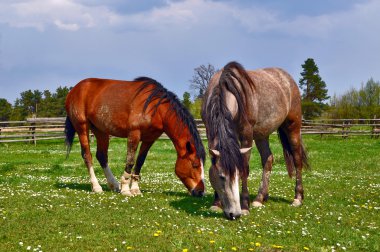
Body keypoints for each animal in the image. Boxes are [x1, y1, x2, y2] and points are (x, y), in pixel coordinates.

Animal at [66, 77, 208, 197]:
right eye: (195, 165)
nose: (201, 192)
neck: (155, 108)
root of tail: (74, 90)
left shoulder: (149, 139)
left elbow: (140, 161)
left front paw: (135, 188)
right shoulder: (134, 134)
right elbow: (130, 160)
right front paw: (125, 188)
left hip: (101, 131)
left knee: (102, 156)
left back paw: (114, 185)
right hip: (82, 127)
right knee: (87, 156)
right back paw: (96, 187)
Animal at [202, 61, 308, 219]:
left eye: (237, 176)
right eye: (221, 177)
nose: (234, 214)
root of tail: (288, 80)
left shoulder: (246, 135)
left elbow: (245, 168)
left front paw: (245, 206)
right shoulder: (210, 133)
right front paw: (216, 203)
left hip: (293, 128)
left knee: (297, 160)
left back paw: (297, 198)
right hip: (262, 135)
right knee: (268, 159)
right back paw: (260, 198)